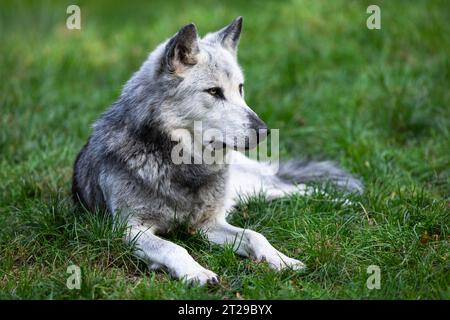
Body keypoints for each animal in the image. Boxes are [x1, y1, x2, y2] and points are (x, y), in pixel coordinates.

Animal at [72, 17, 364, 284]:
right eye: (214, 91)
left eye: (240, 89)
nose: (264, 131)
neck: (184, 166)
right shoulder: (130, 229)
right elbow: (173, 247)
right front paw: (196, 272)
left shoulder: (207, 224)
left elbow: (256, 235)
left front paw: (282, 261)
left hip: (249, 186)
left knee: (295, 187)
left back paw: (347, 202)